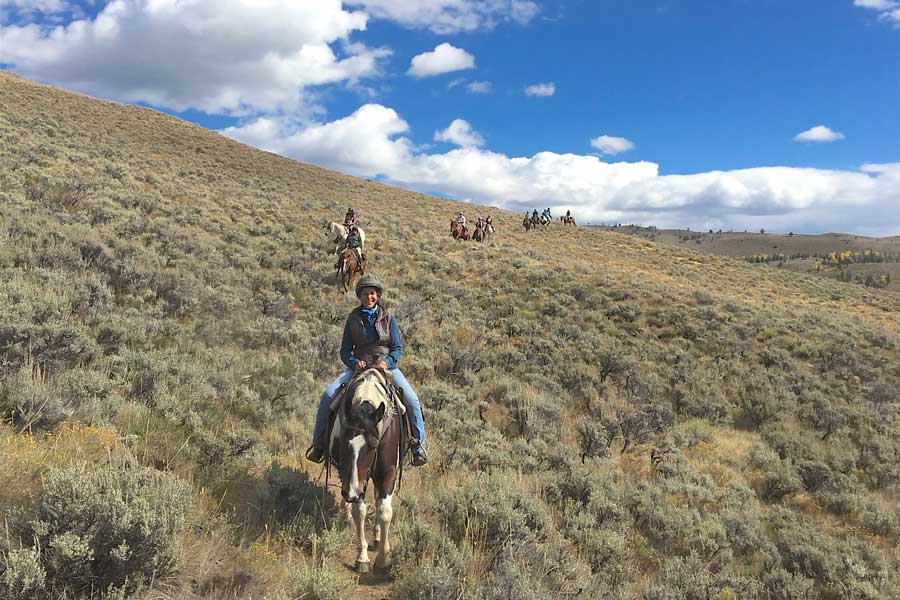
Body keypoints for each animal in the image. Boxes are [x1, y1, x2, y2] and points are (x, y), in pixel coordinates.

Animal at [326, 368, 404, 576]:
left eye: (373, 445)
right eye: (343, 443)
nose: (352, 492)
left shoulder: (388, 472)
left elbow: (384, 511)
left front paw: (383, 559)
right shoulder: (350, 476)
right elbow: (359, 511)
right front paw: (362, 558)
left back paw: (376, 535)